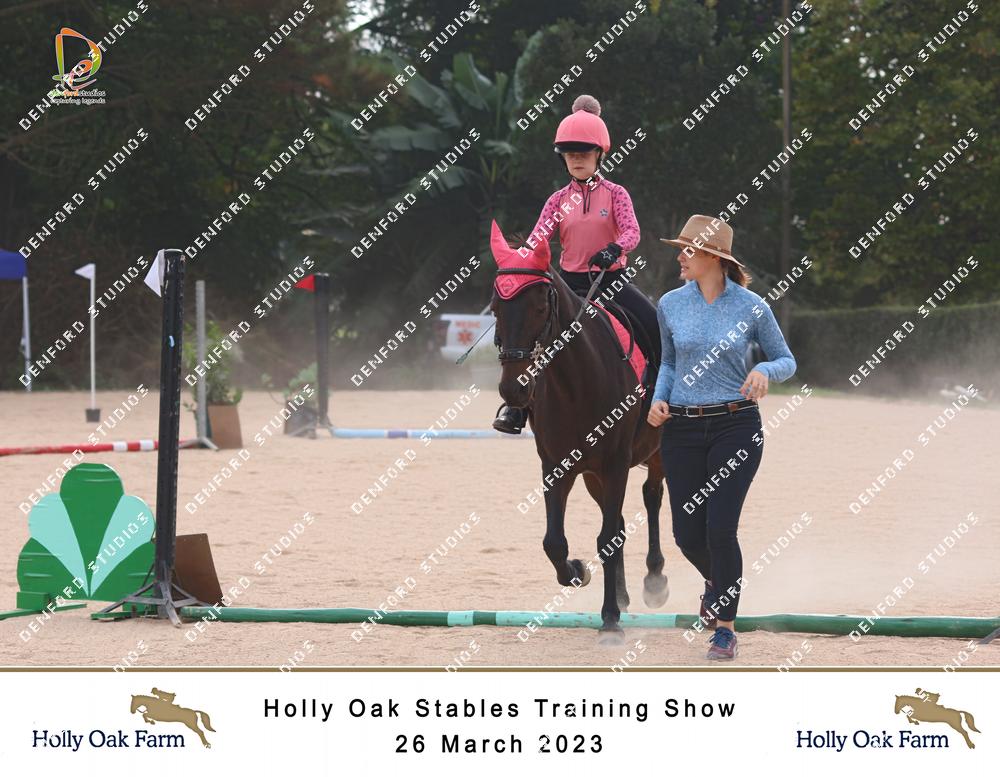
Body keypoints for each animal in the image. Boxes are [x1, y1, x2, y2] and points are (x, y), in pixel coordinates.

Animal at [488, 220, 668, 644]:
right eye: (497, 305)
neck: (576, 383)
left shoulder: (616, 463)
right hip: (593, 475)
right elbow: (555, 541)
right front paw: (577, 571)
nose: (513, 389)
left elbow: (607, 536)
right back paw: (622, 592)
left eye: (540, 305)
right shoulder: (558, 466)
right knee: (618, 521)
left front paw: (610, 620)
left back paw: (654, 581)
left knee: (652, 497)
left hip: (656, 452)